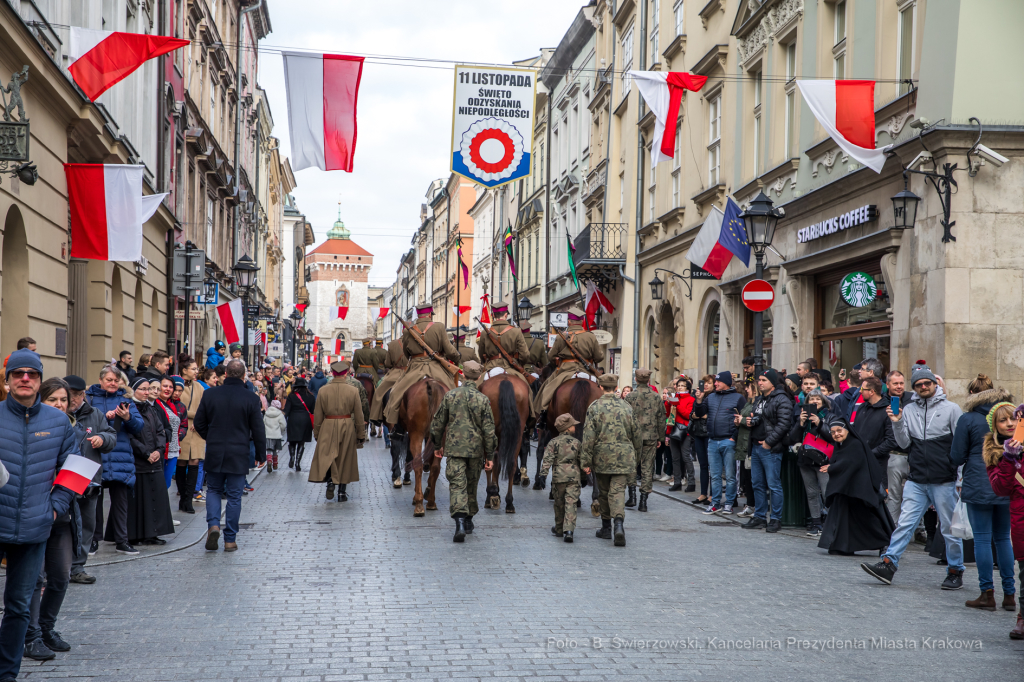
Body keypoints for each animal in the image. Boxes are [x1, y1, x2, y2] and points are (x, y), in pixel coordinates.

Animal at [395, 376, 448, 516]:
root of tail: (431, 383)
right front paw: (428, 490)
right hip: (442, 437)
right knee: (436, 467)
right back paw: (431, 502)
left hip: (416, 434)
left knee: (417, 464)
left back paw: (418, 504)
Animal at [477, 372, 532, 509]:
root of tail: (505, 380)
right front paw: (496, 493)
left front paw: (493, 494)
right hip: (518, 433)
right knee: (511, 463)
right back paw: (509, 502)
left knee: (492, 463)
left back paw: (490, 497)